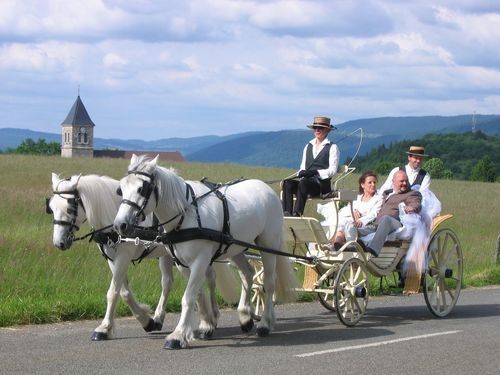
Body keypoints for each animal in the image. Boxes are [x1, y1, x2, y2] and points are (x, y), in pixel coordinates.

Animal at [47, 173, 239, 340]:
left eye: (70, 208)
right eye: (51, 208)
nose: (59, 242)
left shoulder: (123, 256)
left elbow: (113, 292)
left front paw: (104, 328)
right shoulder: (112, 259)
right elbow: (123, 292)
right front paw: (146, 320)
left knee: (210, 278)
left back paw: (213, 315)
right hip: (168, 255)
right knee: (168, 282)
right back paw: (163, 317)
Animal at [114, 155, 296, 350]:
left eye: (142, 189)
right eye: (121, 189)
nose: (119, 225)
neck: (185, 214)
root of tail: (266, 187)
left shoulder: (200, 260)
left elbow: (188, 297)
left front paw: (177, 336)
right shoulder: (183, 263)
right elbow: (198, 294)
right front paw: (206, 325)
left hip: (268, 243)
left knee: (269, 282)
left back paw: (265, 323)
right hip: (235, 247)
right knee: (247, 274)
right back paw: (245, 317)